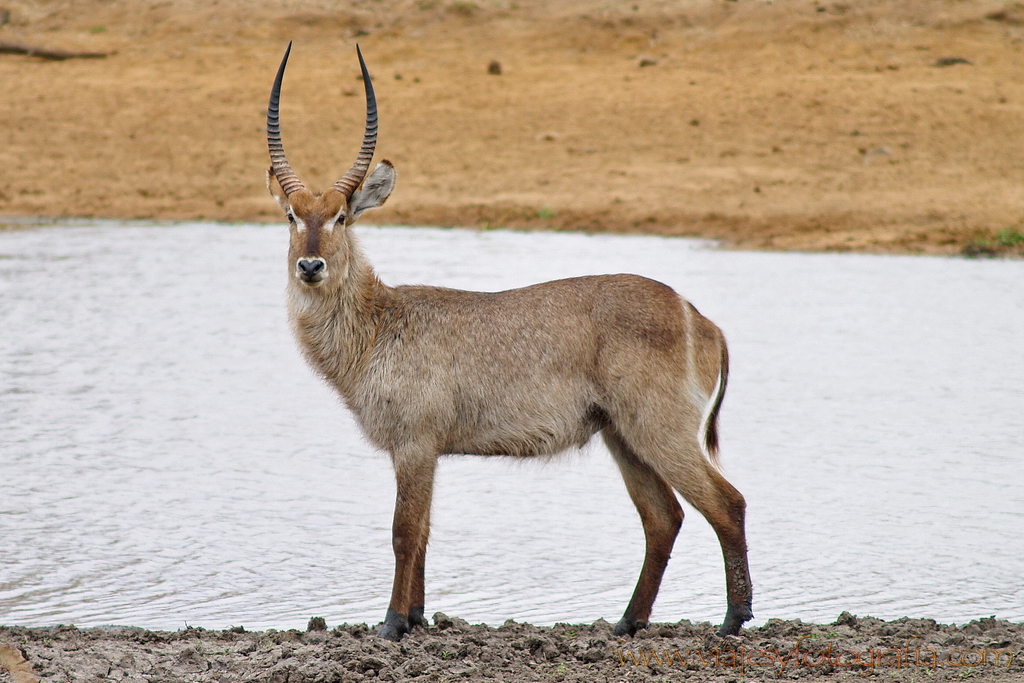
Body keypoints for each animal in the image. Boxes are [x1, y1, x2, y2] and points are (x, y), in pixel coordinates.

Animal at [264, 42, 753, 643]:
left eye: (339, 217)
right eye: (292, 215)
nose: (310, 266)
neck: (379, 322)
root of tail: (700, 318)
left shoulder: (415, 443)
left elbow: (404, 532)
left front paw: (393, 625)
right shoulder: (426, 450)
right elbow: (425, 532)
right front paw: (418, 617)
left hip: (661, 430)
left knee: (726, 503)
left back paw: (733, 619)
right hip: (622, 434)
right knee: (664, 518)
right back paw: (626, 623)